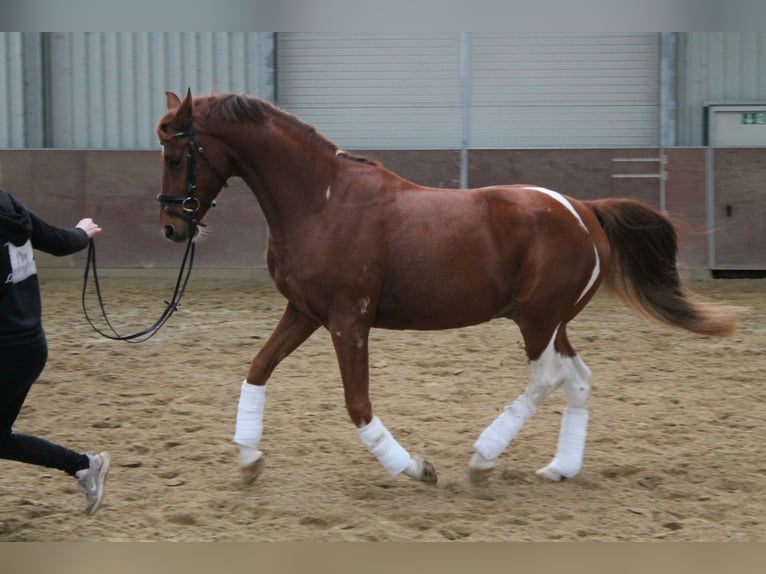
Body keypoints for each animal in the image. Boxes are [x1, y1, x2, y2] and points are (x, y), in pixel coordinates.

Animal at [156, 88, 736, 487]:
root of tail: (584, 210)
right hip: (553, 322)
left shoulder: (349, 320)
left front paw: (415, 467)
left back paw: (483, 459)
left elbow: (357, 403)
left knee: (547, 380)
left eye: (176, 156)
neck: (322, 201)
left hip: (537, 320)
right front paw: (249, 459)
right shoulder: (304, 312)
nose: (171, 229)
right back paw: (559, 468)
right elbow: (258, 368)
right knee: (577, 380)